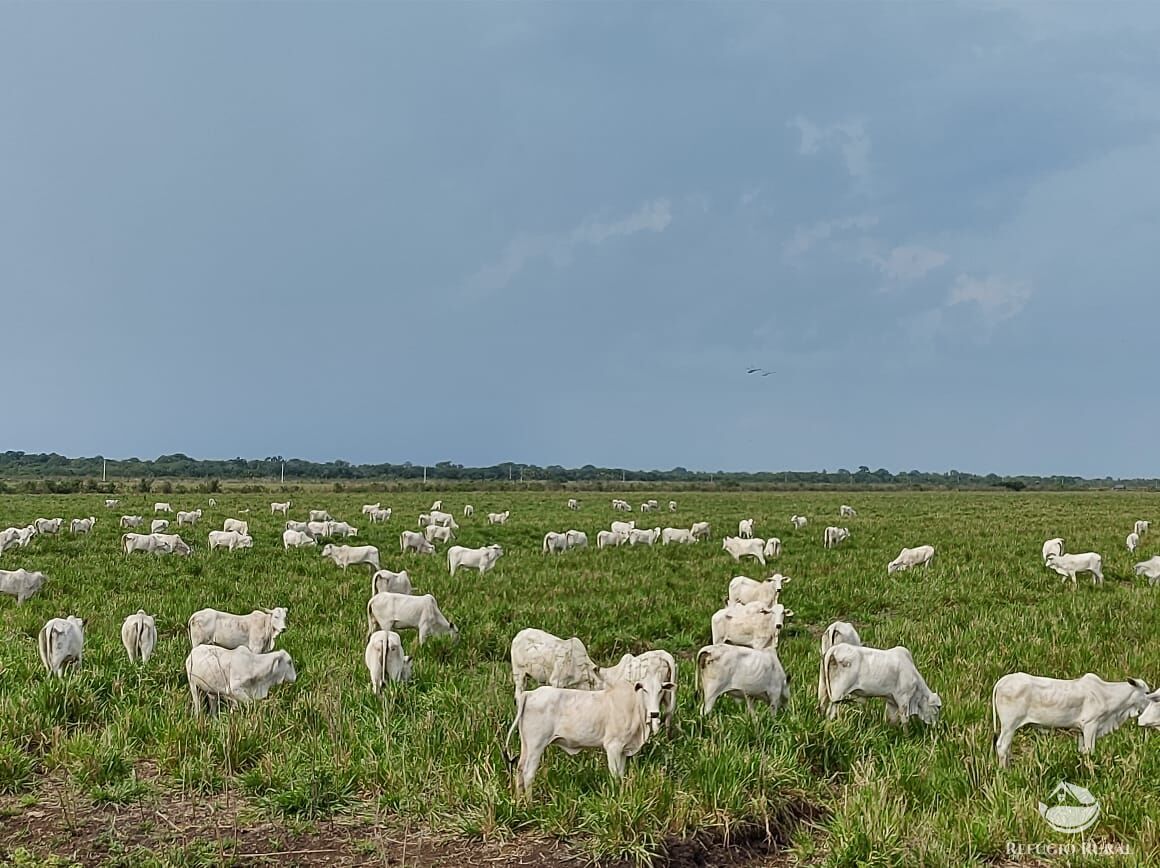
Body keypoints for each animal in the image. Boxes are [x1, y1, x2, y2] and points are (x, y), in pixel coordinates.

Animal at [501, 673, 672, 798]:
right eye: (644, 689)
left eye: (660, 690)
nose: (654, 713)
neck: (634, 706)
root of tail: (530, 693)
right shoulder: (613, 746)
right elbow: (615, 776)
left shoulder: (623, 750)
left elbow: (621, 775)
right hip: (537, 744)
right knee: (528, 773)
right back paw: (530, 805)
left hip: (526, 744)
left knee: (519, 769)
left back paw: (519, 802)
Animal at [992, 673, 1155, 765]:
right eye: (1146, 692)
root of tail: (1002, 681)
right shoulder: (1090, 725)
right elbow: (1090, 751)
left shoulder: (1081, 730)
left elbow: (1082, 751)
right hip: (1009, 724)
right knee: (1002, 746)